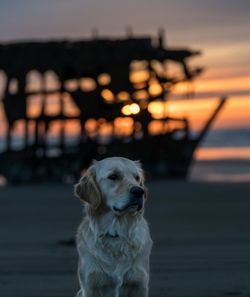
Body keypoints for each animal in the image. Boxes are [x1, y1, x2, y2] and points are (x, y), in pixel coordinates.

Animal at [74, 156, 152, 294]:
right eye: (113, 176)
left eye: (137, 177)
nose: (139, 191)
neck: (116, 233)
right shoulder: (90, 285)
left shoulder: (140, 283)